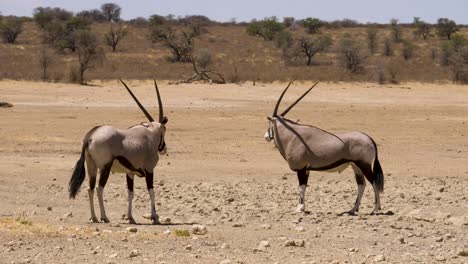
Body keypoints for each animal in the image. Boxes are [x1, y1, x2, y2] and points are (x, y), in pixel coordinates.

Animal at [67, 79, 166, 224]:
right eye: (164, 131)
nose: (164, 148)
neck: (150, 134)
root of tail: (90, 136)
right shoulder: (149, 170)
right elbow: (151, 191)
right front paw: (155, 217)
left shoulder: (130, 173)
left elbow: (130, 193)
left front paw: (131, 217)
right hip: (105, 167)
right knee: (99, 188)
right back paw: (104, 217)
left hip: (92, 166)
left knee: (90, 188)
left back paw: (94, 217)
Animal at [264, 82, 384, 214]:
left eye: (269, 124)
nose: (266, 136)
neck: (292, 136)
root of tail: (369, 139)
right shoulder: (306, 169)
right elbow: (304, 187)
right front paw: (303, 207)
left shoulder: (301, 169)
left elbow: (301, 187)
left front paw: (299, 208)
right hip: (355, 166)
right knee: (361, 184)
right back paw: (352, 209)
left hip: (364, 165)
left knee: (374, 183)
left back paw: (375, 209)